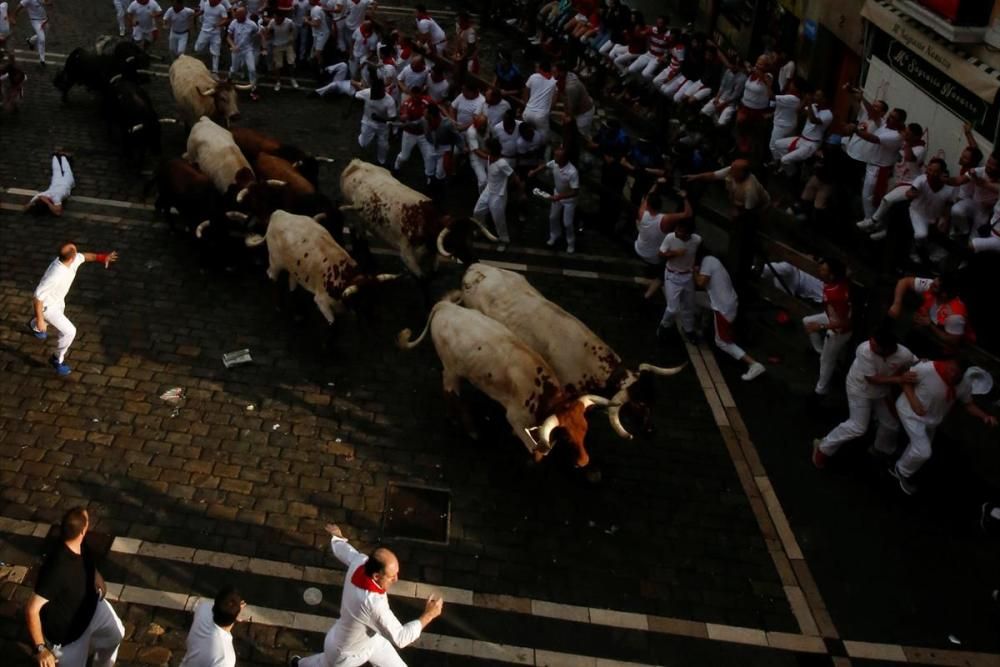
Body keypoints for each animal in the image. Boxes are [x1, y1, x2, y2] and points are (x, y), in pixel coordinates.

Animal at [246, 209, 398, 324]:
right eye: (362, 302)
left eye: (376, 298)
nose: (374, 321)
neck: (343, 275)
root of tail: (279, 213)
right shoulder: (322, 302)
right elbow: (332, 325)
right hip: (275, 262)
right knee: (272, 277)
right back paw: (279, 305)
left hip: (295, 267)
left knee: (292, 282)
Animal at [338, 159, 498, 276]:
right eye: (454, 240)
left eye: (470, 237)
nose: (474, 260)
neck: (426, 220)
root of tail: (356, 164)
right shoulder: (409, 259)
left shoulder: (433, 258)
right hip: (354, 216)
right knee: (359, 235)